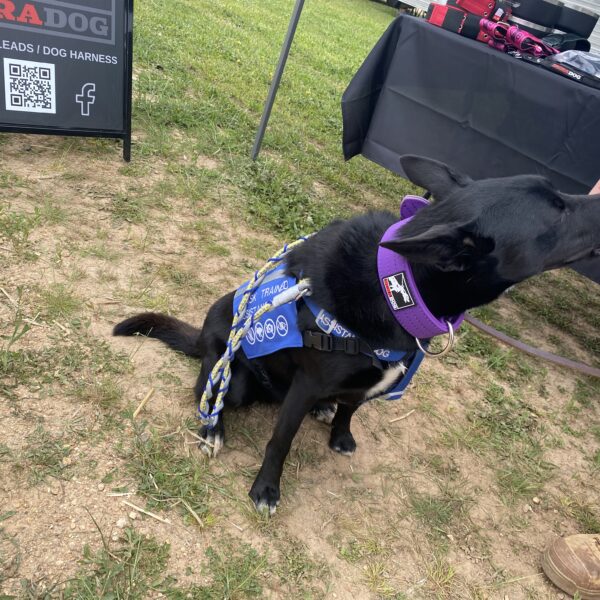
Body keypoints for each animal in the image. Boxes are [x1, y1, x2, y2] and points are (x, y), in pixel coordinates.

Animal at [114, 155, 600, 515]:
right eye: (557, 211)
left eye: (561, 195)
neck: (397, 287)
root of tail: (202, 338)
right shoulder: (305, 384)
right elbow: (280, 442)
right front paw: (266, 490)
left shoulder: (368, 381)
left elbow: (351, 409)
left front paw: (340, 436)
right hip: (232, 379)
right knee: (208, 392)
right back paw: (212, 429)